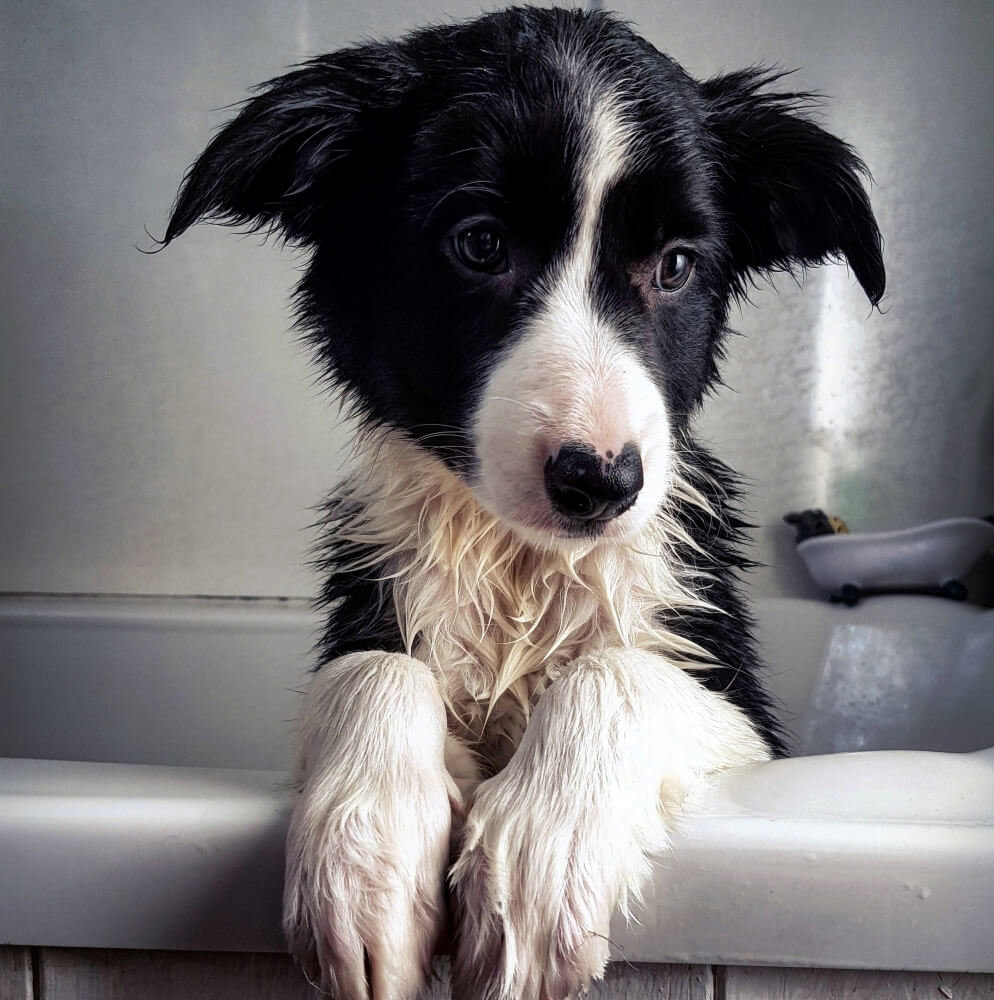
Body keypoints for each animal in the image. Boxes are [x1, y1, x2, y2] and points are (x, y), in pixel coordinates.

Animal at [163, 9, 884, 1000]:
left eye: (676, 266)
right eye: (480, 244)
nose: (600, 483)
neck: (522, 560)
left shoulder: (748, 719)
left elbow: (615, 670)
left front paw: (541, 864)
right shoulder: (376, 609)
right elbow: (374, 669)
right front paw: (366, 865)